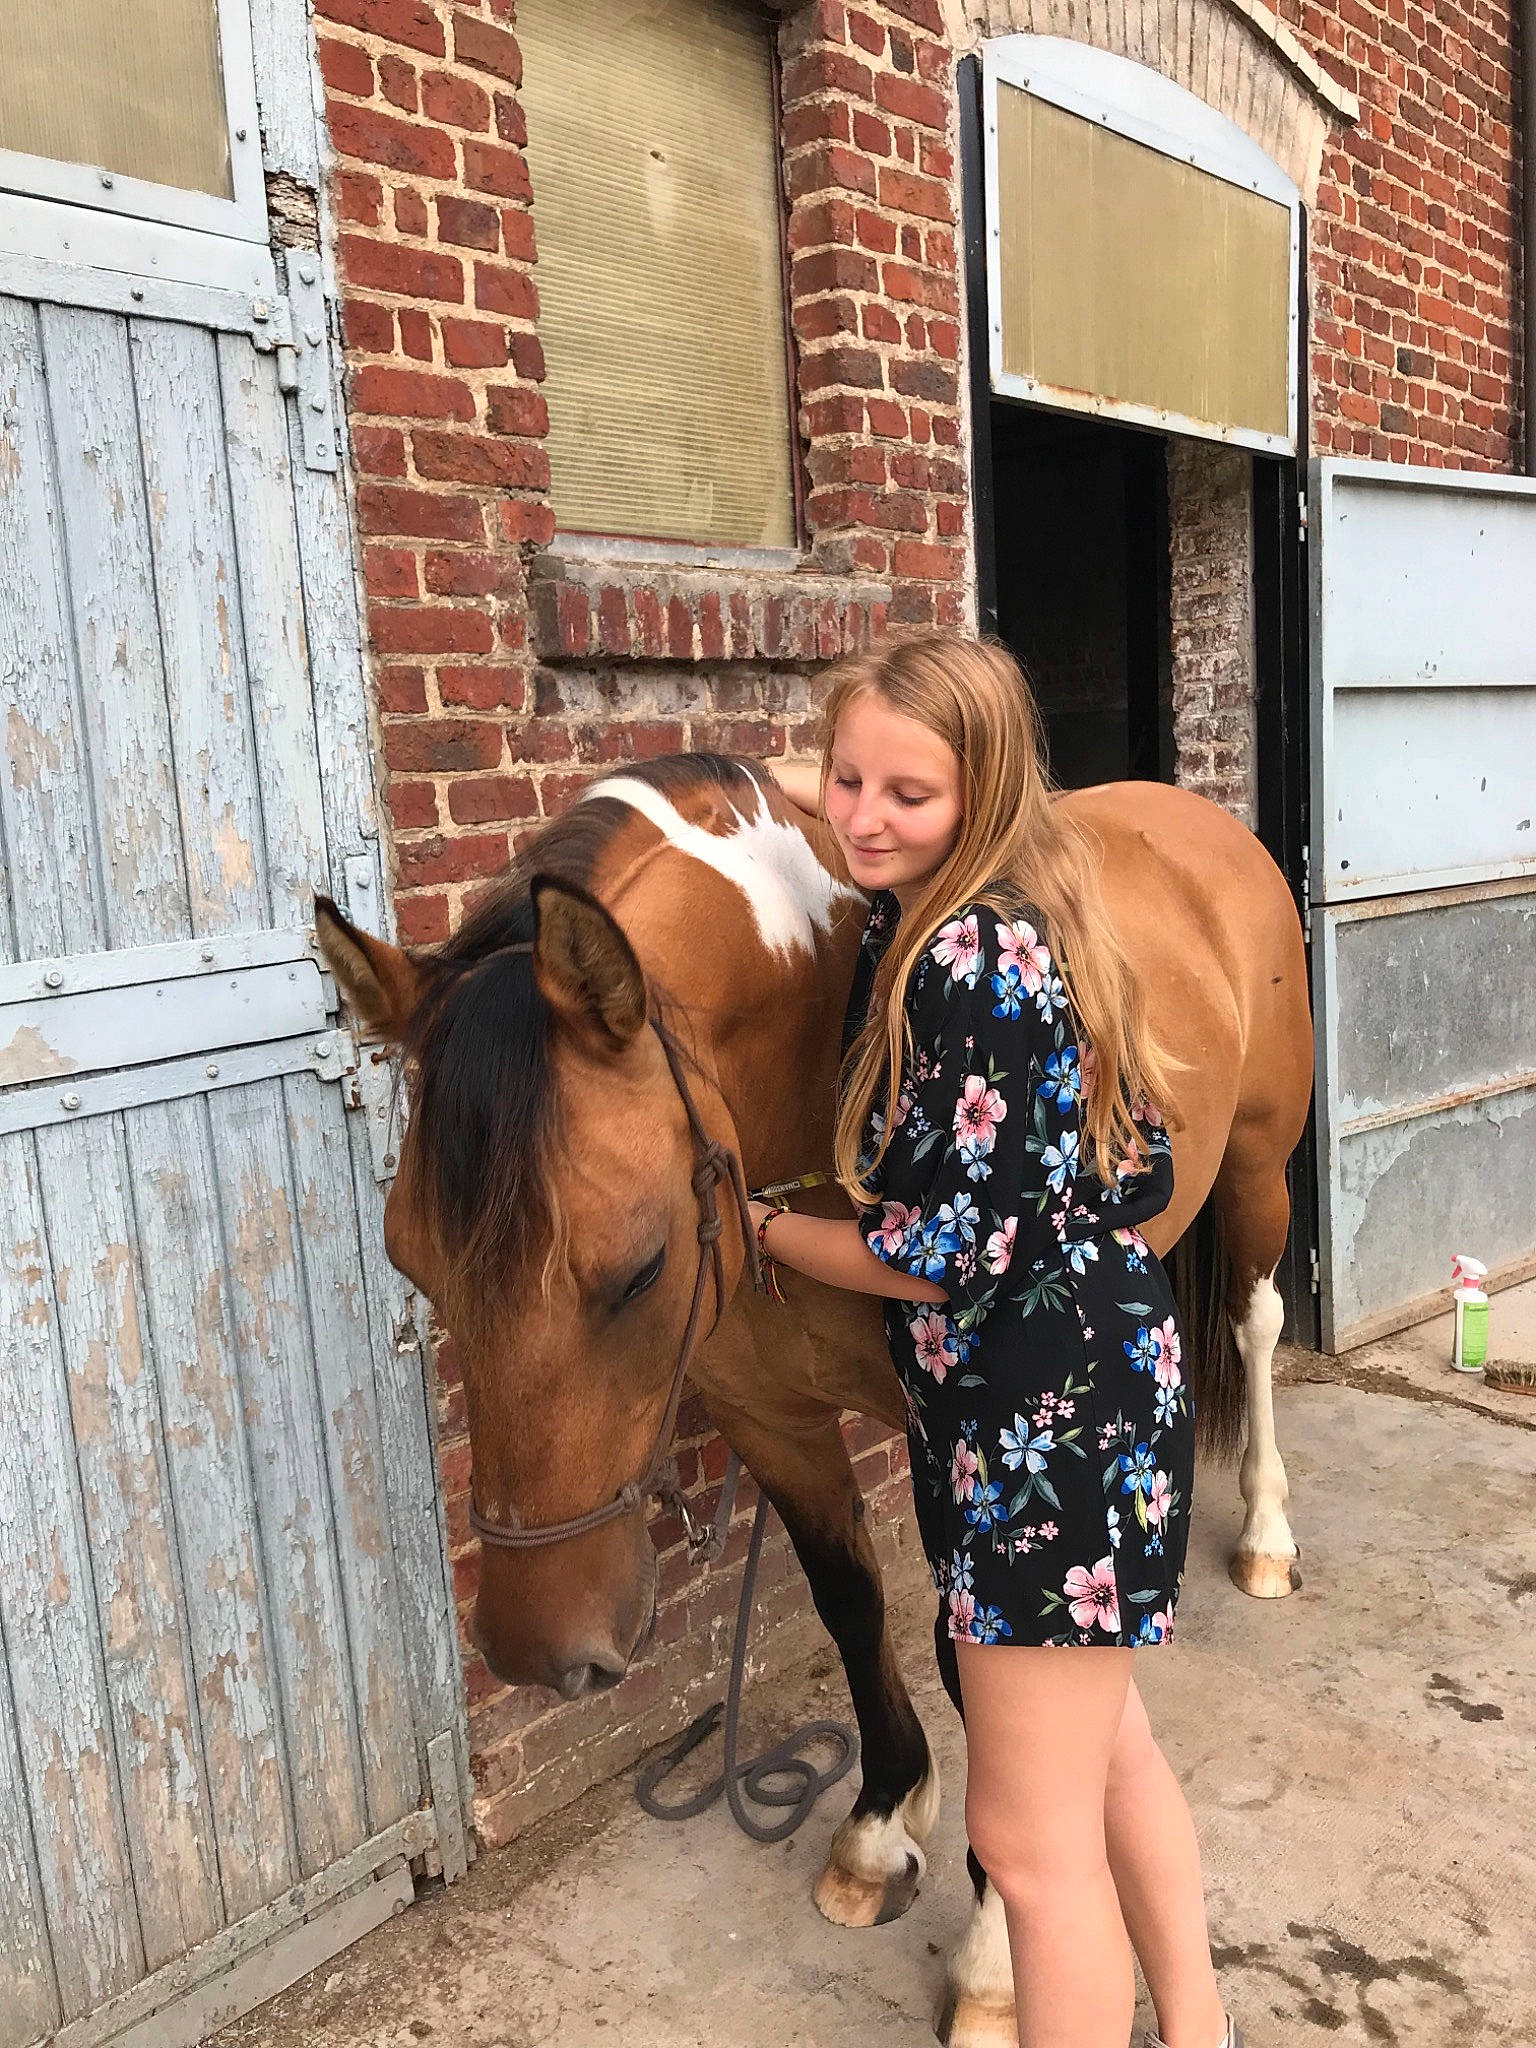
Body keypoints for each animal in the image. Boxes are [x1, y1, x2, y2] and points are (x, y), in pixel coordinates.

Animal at [315, 753, 1312, 2047]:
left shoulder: (969, 1453)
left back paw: (1268, 1536)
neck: (815, 1063)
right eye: (410, 1259)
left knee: (1256, 1323)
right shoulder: (772, 1422)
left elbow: (967, 1660)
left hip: (1256, 1170)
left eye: (638, 1267)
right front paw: (882, 1827)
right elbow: (849, 1600)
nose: (543, 1650)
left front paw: (994, 1956)